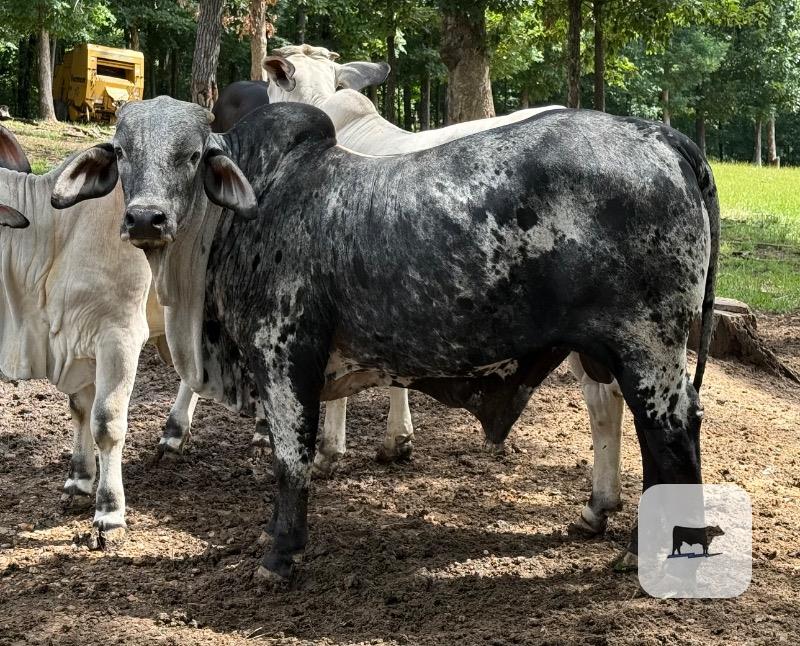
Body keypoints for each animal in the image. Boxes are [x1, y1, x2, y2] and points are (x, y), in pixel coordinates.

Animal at [51, 96, 718, 581]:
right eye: (123, 153)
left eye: (191, 154)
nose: (146, 218)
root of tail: (662, 137)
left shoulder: (284, 354)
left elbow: (290, 459)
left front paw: (280, 553)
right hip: (613, 352)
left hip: (650, 351)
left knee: (671, 437)